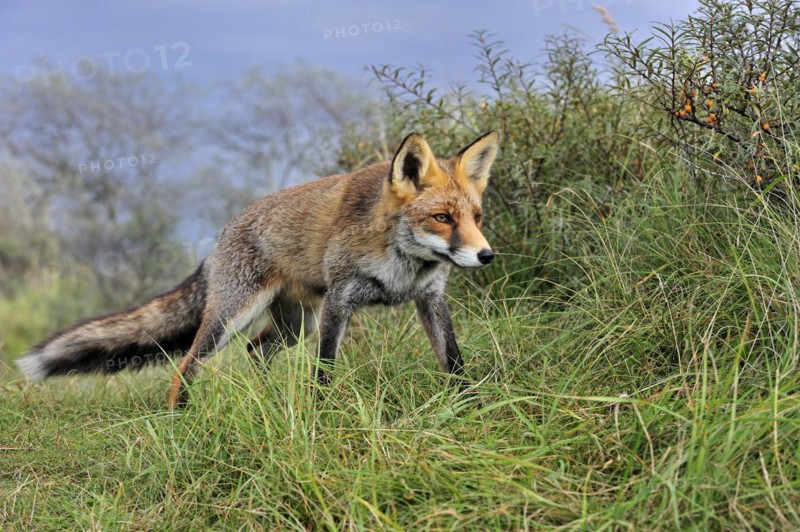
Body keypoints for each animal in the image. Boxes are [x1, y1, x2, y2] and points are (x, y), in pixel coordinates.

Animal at [16, 130, 501, 407]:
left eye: (477, 218)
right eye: (442, 218)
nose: (486, 255)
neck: (402, 266)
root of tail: (218, 239)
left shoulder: (430, 298)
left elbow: (454, 361)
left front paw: (471, 407)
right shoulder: (340, 302)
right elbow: (325, 372)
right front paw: (323, 415)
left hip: (296, 325)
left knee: (255, 352)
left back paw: (267, 400)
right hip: (233, 317)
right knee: (185, 366)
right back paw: (181, 419)